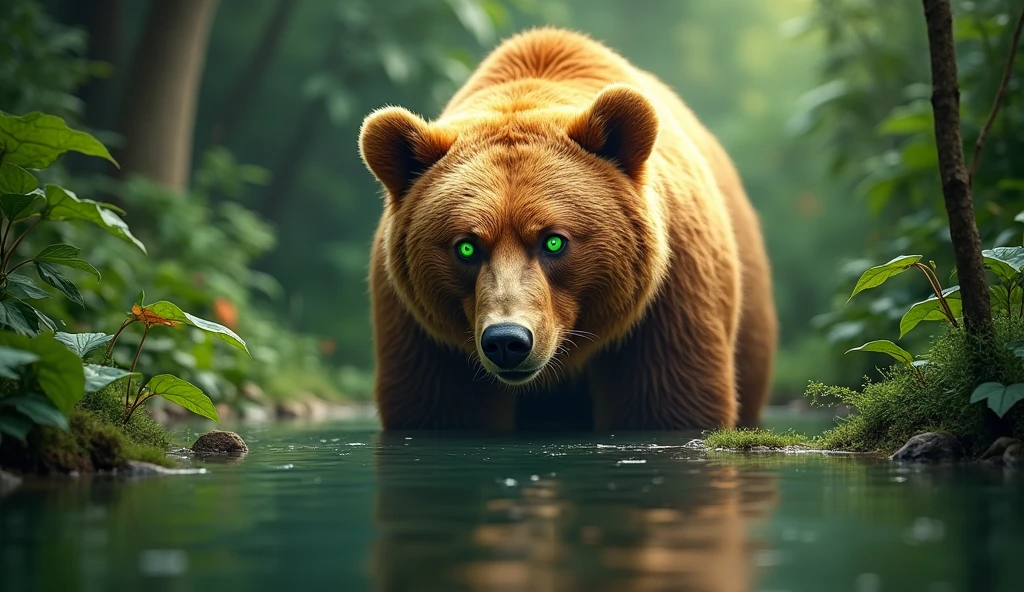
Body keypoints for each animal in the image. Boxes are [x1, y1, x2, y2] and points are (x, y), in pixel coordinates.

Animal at [360, 26, 774, 428]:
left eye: (554, 241)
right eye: (466, 246)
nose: (507, 341)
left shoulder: (667, 305)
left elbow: (666, 402)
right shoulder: (427, 337)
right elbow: (440, 407)